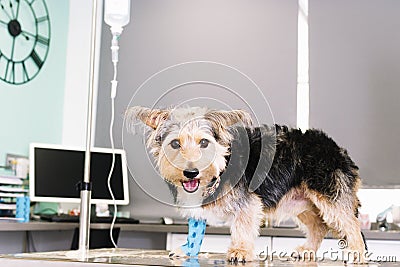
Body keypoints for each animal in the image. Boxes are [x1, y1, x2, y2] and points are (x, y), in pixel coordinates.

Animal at [126, 105, 368, 262]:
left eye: (204, 142)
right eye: (175, 144)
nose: (191, 172)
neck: (221, 165)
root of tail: (336, 147)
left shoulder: (248, 204)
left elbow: (242, 226)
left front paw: (240, 251)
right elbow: (196, 231)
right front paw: (188, 250)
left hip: (328, 194)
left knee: (350, 224)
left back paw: (356, 253)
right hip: (301, 202)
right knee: (319, 226)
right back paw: (307, 249)